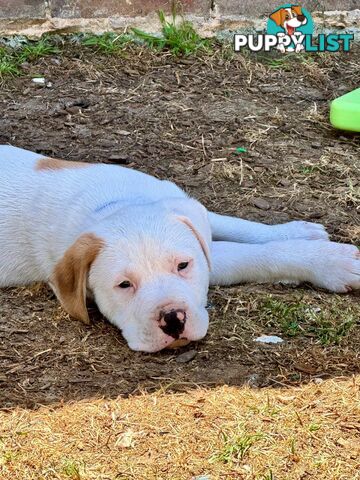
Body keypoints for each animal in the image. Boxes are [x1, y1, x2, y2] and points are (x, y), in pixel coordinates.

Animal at [0, 144, 360, 350]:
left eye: (183, 266)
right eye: (124, 285)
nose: (173, 320)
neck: (114, 206)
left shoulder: (188, 213)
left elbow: (237, 225)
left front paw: (300, 232)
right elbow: (254, 256)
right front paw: (335, 261)